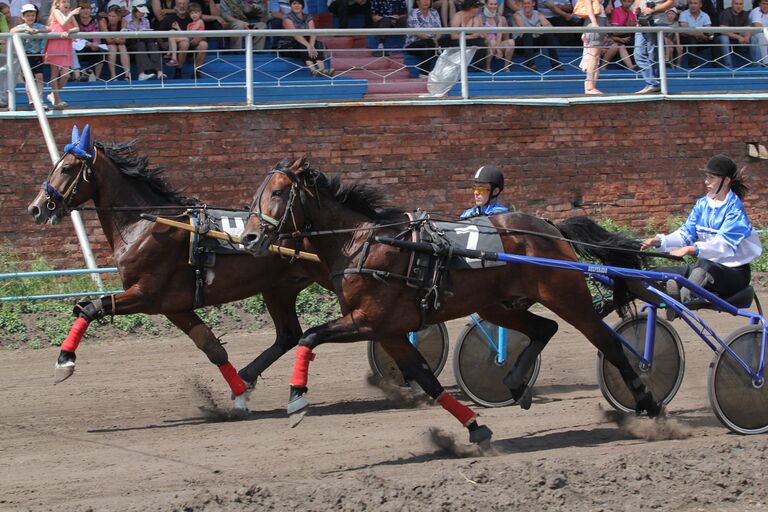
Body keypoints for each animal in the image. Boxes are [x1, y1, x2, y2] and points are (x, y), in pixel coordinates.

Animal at [24, 125, 328, 408]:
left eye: (66, 168)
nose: (36, 208)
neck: (145, 226)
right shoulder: (174, 307)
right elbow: (211, 347)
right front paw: (240, 391)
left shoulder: (146, 296)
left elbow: (91, 308)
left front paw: (64, 361)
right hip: (278, 288)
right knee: (288, 335)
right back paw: (249, 376)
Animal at [243, 158, 664, 446]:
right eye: (255, 195)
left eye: (278, 193)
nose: (248, 238)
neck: (365, 243)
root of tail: (549, 226)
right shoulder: (388, 330)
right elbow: (426, 378)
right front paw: (475, 427)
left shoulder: (367, 320)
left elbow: (308, 337)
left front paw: (297, 400)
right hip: (498, 305)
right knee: (546, 327)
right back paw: (514, 383)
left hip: (566, 295)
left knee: (607, 342)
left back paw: (648, 401)